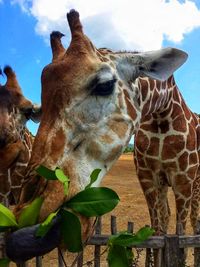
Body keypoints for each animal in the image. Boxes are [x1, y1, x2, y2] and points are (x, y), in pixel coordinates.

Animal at [12, 10, 198, 260]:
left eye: (104, 85)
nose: (25, 236)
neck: (161, 116)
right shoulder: (148, 180)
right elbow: (157, 230)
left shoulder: (183, 181)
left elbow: (181, 235)